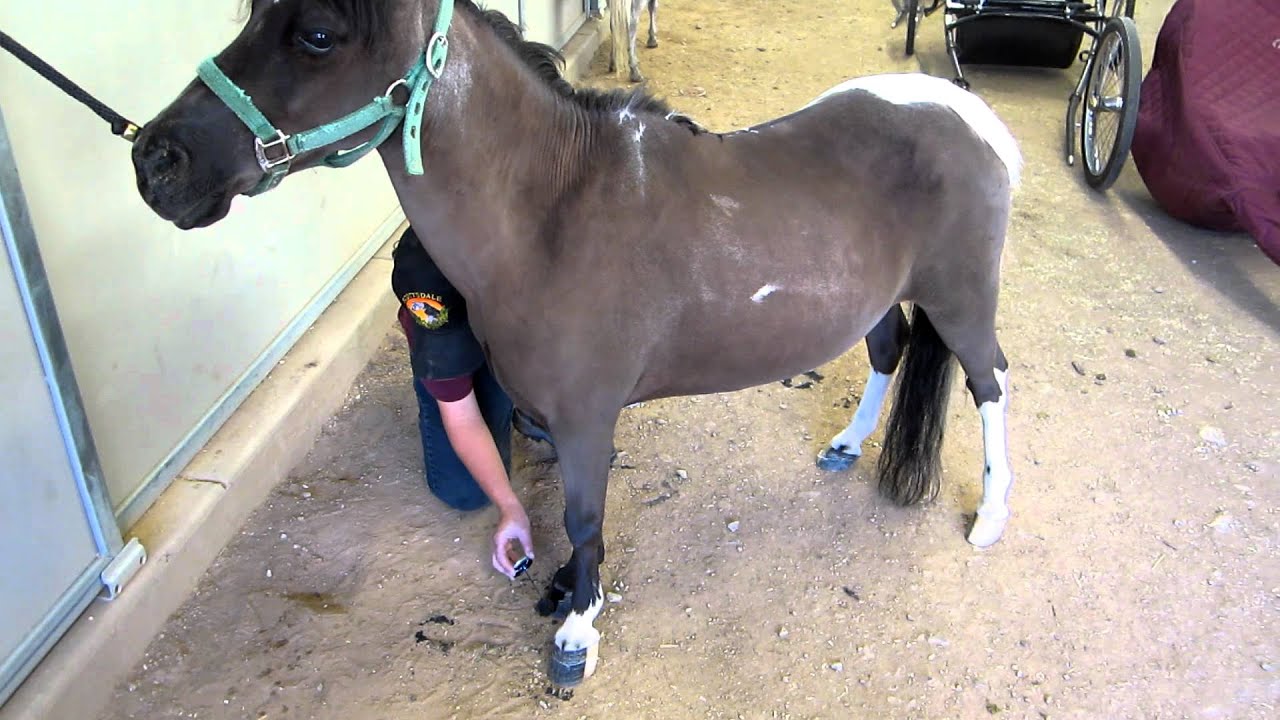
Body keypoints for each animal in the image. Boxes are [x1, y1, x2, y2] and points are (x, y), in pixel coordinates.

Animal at [131, 0, 1021, 690]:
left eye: (317, 35)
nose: (155, 160)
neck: (552, 214)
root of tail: (974, 121)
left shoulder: (589, 418)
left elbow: (585, 515)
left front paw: (576, 631)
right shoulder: (553, 416)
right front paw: (560, 587)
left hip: (962, 302)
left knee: (990, 384)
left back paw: (989, 518)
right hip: (879, 301)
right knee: (887, 350)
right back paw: (844, 446)